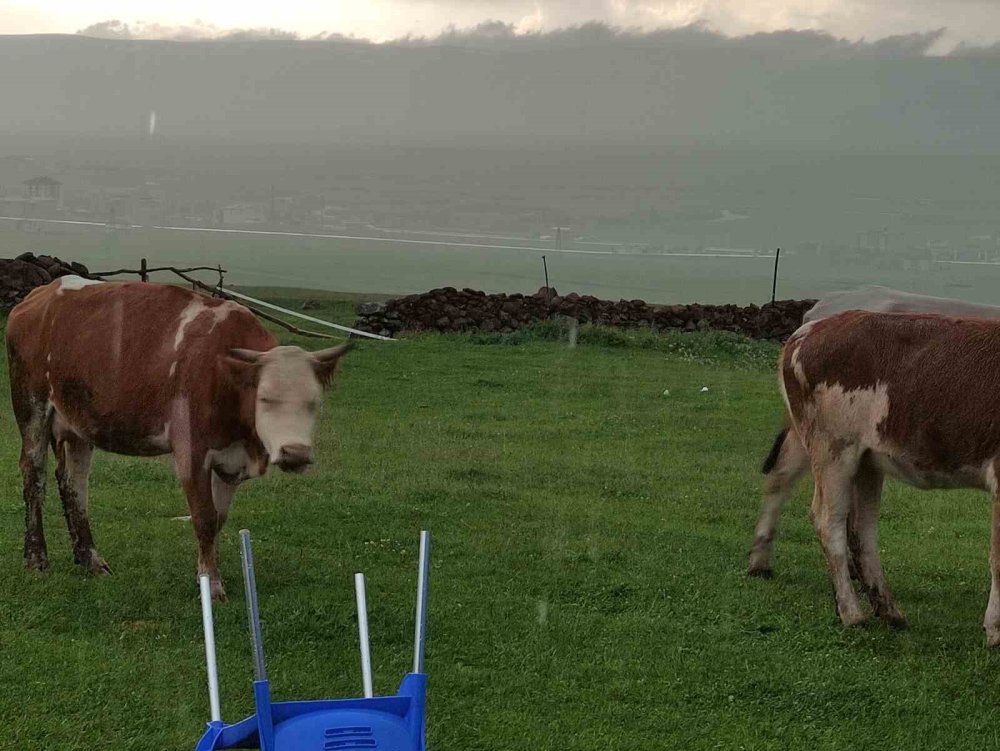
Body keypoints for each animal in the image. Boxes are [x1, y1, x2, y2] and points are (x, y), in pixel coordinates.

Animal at [5, 276, 352, 600]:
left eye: (315, 402)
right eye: (265, 398)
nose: (295, 453)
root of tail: (42, 294)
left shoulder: (231, 462)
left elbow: (219, 519)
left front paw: (205, 573)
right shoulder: (192, 453)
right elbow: (204, 517)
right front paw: (212, 585)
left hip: (78, 426)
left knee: (74, 485)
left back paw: (90, 559)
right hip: (32, 409)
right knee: (34, 476)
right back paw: (36, 559)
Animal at [772, 308, 1000, 644]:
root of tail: (811, 329)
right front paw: (995, 630)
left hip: (867, 461)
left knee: (862, 530)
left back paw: (889, 611)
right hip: (832, 449)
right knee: (829, 522)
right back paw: (852, 614)